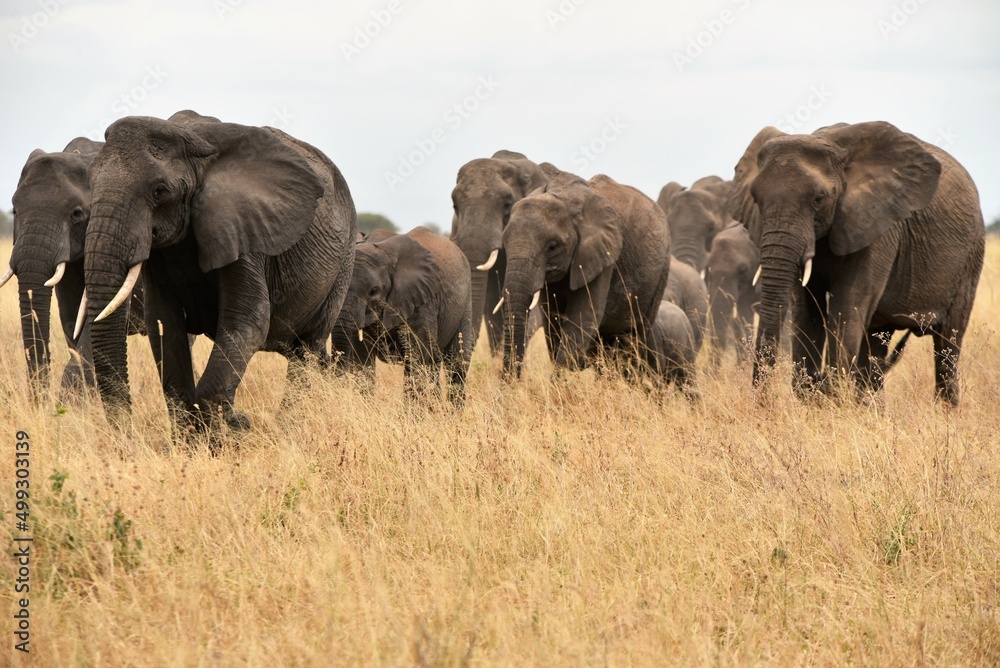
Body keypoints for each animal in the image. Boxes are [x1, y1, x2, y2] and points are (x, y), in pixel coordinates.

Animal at [79, 110, 357, 432]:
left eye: (160, 191)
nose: (128, 434)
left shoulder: (245, 234)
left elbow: (248, 321)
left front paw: (235, 428)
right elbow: (164, 323)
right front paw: (196, 436)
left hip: (344, 261)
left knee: (307, 349)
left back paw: (287, 426)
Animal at [331, 226, 475, 401]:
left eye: (373, 291)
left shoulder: (422, 301)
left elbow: (417, 356)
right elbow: (363, 357)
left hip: (465, 303)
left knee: (456, 362)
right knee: (433, 364)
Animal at [499, 169, 671, 377]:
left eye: (552, 247)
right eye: (505, 244)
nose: (511, 383)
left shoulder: (603, 256)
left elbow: (581, 319)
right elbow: (553, 321)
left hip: (660, 274)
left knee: (635, 337)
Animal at [730, 121, 985, 405]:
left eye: (818, 199)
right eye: (756, 200)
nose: (765, 404)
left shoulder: (879, 223)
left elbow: (847, 305)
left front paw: (832, 394)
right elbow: (807, 310)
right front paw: (817, 391)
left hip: (971, 256)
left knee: (948, 344)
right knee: (875, 346)